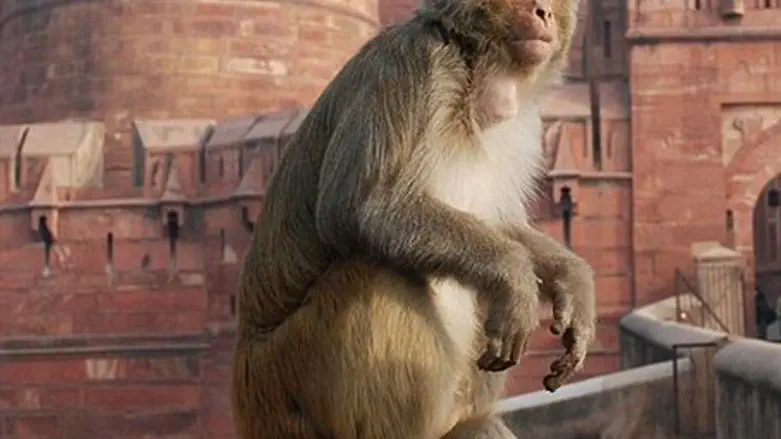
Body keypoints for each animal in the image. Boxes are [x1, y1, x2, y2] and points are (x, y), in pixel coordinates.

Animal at [232, 0, 596, 437]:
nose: (543, 12)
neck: (475, 75)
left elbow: (501, 224)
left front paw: (573, 281)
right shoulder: (412, 66)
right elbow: (359, 207)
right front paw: (514, 277)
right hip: (283, 383)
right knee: (373, 273)